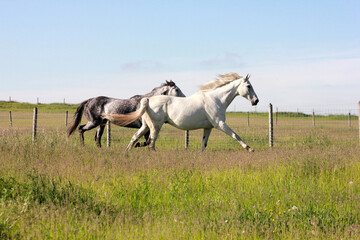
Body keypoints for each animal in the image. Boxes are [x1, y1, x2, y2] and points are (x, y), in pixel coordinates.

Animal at [103, 72, 258, 152]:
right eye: (248, 86)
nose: (256, 101)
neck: (216, 99)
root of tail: (147, 100)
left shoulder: (208, 127)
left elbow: (204, 144)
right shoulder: (220, 124)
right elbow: (235, 135)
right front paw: (250, 149)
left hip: (146, 125)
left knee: (135, 137)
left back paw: (127, 152)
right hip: (155, 126)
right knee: (151, 143)